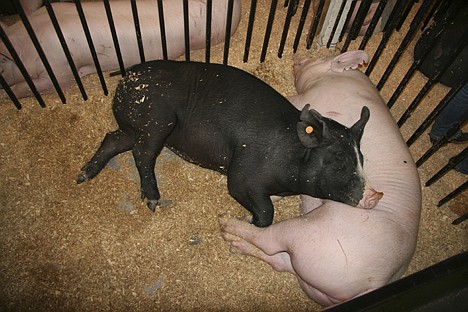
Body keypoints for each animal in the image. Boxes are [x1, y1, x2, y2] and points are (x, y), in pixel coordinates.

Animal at [77, 61, 370, 227]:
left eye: (363, 159)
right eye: (339, 160)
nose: (366, 194)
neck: (292, 157)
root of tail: (126, 76)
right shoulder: (243, 175)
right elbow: (265, 211)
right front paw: (246, 220)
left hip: (135, 125)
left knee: (113, 139)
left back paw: (82, 176)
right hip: (156, 120)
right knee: (143, 154)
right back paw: (152, 201)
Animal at [221, 51, 422, 308]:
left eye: (317, 59)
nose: (298, 56)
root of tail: (376, 283)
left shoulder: (309, 100)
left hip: (311, 233)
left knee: (270, 241)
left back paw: (228, 225)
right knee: (281, 262)